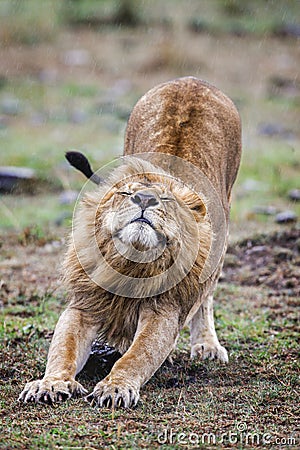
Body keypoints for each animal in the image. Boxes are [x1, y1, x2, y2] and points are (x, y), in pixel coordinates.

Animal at [19, 76, 241, 408]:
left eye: (166, 199)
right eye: (125, 193)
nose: (145, 198)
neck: (131, 263)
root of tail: (191, 80)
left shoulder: (164, 312)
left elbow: (138, 356)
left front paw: (116, 387)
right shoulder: (84, 305)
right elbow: (62, 350)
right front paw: (50, 384)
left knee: (206, 297)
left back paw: (207, 346)